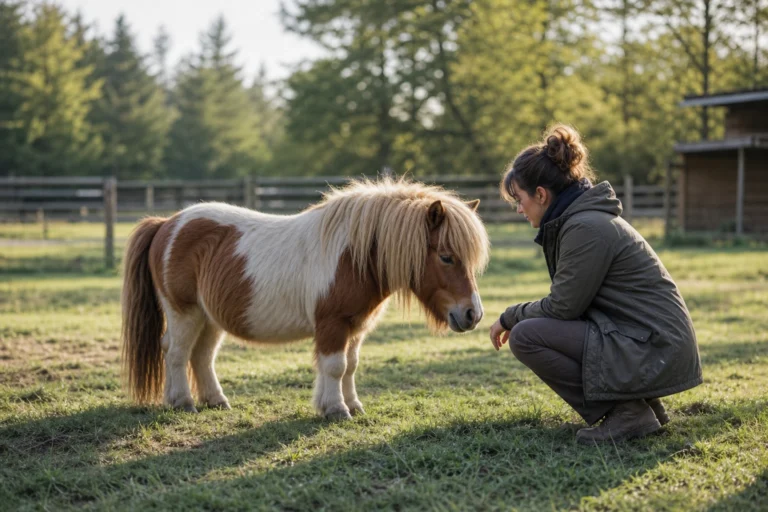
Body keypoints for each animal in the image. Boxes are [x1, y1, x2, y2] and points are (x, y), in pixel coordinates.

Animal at [121, 178, 490, 420]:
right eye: (446, 257)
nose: (473, 314)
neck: (352, 256)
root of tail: (167, 223)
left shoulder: (355, 327)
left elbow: (350, 366)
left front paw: (352, 405)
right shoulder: (332, 325)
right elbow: (334, 366)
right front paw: (336, 409)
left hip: (209, 318)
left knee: (201, 356)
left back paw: (215, 400)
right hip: (185, 312)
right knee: (176, 352)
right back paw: (182, 402)